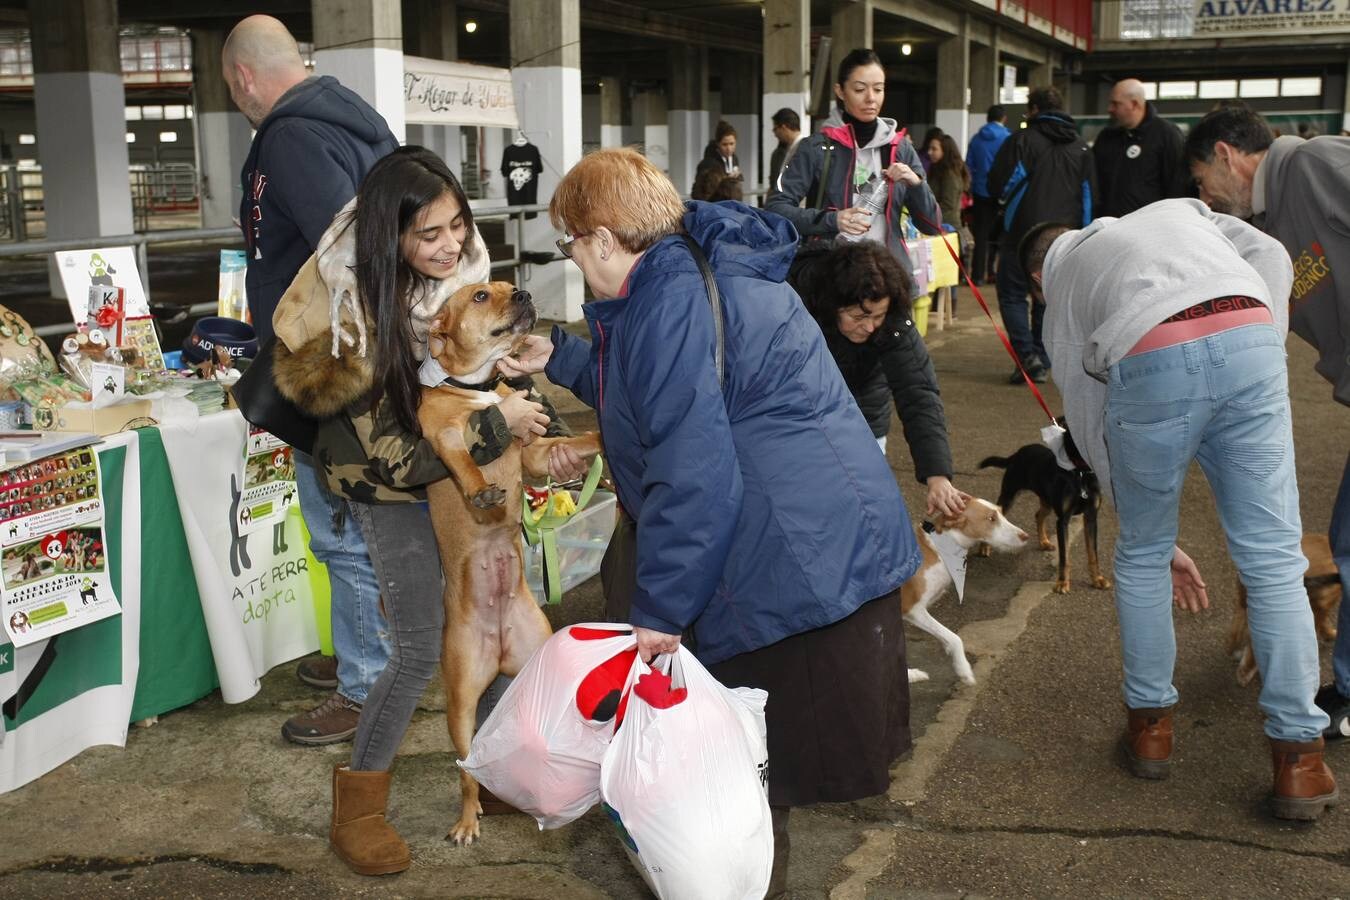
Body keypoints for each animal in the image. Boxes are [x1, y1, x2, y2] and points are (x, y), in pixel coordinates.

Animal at [413, 282, 599, 847]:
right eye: (479, 295)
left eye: (502, 285)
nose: (522, 290)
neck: (478, 387)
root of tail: (497, 651)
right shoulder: (446, 438)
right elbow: (465, 462)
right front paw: (480, 491)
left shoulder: (533, 451)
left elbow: (568, 444)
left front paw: (599, 440)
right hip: (460, 706)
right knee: (466, 770)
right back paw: (468, 819)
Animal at [901, 499, 1026, 682]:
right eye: (991, 518)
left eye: (1001, 513)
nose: (1025, 536)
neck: (938, 549)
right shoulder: (912, 609)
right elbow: (955, 638)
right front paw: (963, 668)